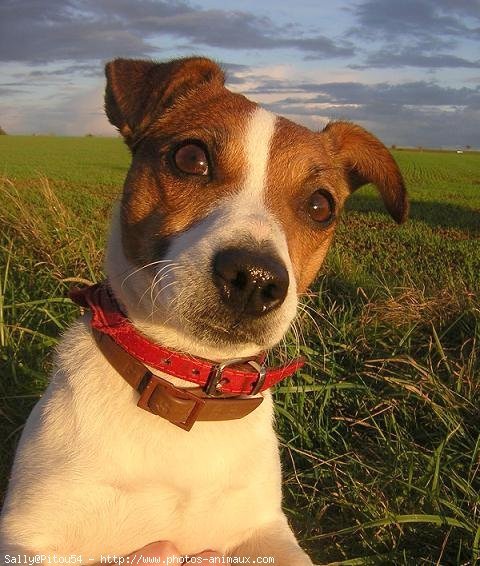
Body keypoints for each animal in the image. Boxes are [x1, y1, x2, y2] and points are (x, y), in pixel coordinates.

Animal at [0, 55, 408, 564]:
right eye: (191, 159)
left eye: (320, 206)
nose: (255, 278)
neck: (183, 388)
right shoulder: (29, 533)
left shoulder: (263, 529)